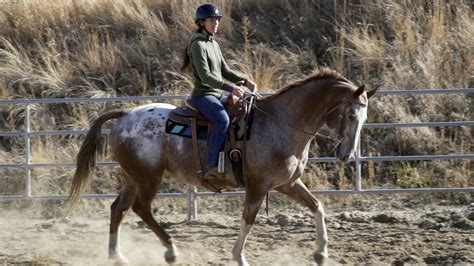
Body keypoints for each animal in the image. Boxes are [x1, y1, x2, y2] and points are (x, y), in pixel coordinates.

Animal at [66, 68, 378, 264]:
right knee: (141, 209)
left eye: (364, 117)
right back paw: (171, 250)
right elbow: (248, 219)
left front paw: (321, 253)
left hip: (133, 177)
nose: (347, 155)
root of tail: (125, 114)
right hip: (147, 178)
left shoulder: (287, 183)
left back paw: (117, 255)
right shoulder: (258, 185)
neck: (280, 123)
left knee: (118, 208)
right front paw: (239, 257)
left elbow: (317, 206)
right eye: (351, 115)